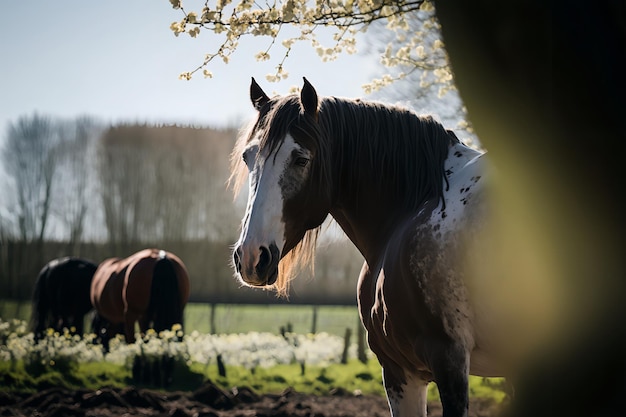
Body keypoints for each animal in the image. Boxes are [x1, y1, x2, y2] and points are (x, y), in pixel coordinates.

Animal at [229, 78, 502, 416]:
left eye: (301, 159)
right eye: (247, 157)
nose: (251, 257)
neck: (419, 204)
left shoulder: (440, 362)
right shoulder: (403, 370)